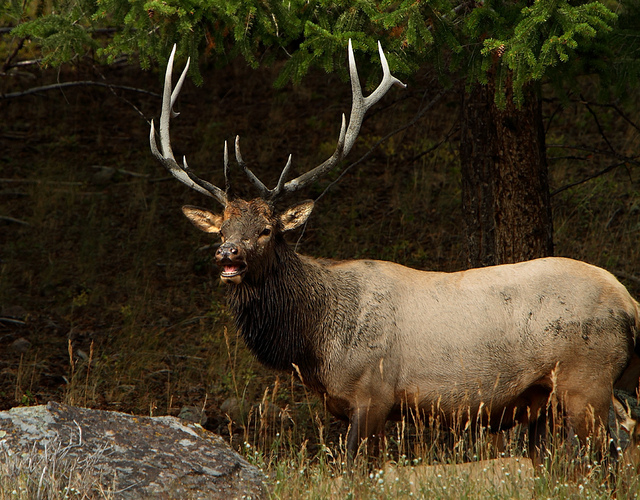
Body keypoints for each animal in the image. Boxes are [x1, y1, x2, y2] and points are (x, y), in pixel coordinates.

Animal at [149, 45, 640, 458]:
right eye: (222, 228)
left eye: (267, 230)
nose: (228, 255)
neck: (314, 343)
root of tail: (630, 304)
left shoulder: (373, 392)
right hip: (561, 395)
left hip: (587, 378)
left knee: (608, 455)